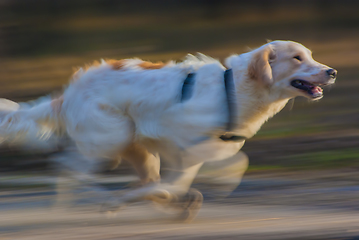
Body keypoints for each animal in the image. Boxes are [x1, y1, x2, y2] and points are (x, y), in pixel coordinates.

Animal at [0, 40, 338, 221]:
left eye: (310, 56)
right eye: (297, 58)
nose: (332, 71)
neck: (233, 90)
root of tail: (69, 91)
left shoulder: (192, 153)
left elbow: (213, 172)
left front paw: (177, 201)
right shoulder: (184, 147)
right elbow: (187, 180)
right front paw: (178, 198)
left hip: (135, 148)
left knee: (136, 180)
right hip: (111, 139)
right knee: (70, 168)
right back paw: (106, 200)